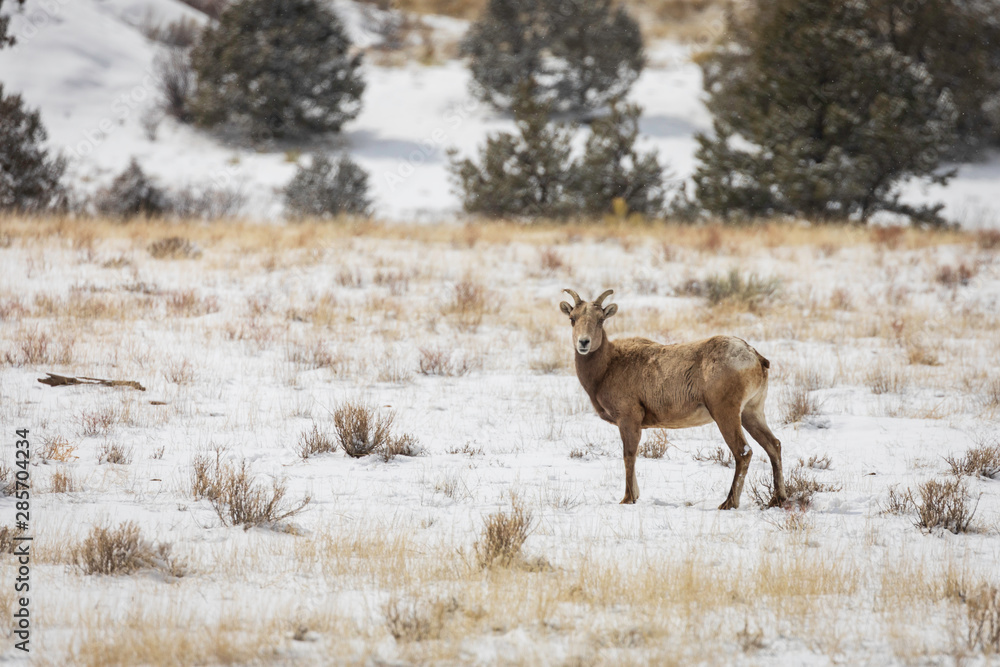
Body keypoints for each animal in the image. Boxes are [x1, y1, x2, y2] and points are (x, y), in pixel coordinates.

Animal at [560, 288, 786, 509]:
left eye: (600, 319)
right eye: (572, 318)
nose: (584, 342)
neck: (607, 366)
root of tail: (756, 357)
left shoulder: (628, 419)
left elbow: (629, 456)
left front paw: (628, 498)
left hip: (726, 414)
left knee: (743, 453)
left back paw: (728, 503)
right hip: (751, 413)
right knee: (773, 445)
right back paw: (777, 499)